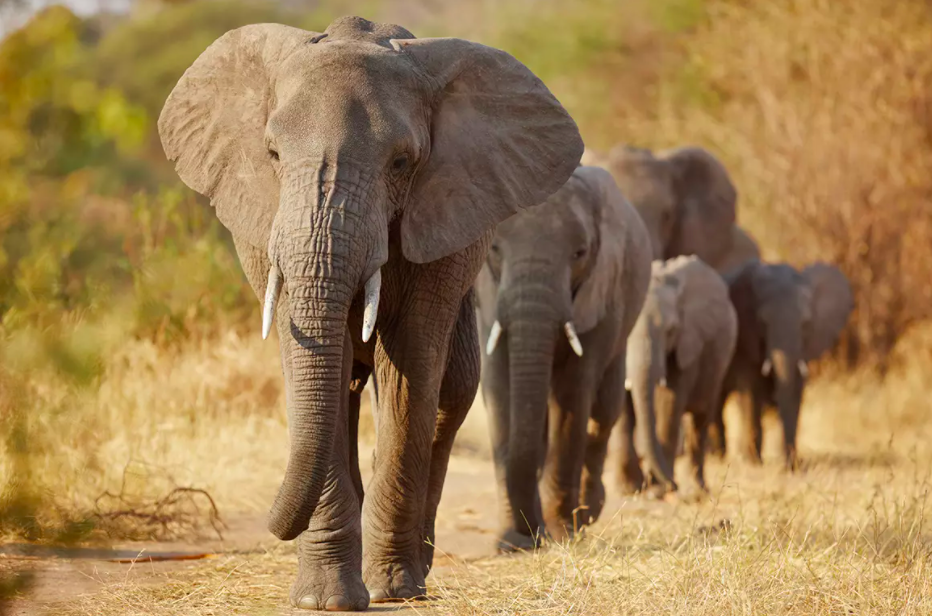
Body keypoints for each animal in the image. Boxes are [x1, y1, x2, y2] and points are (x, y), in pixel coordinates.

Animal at [160, 15, 584, 612]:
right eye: (272, 155)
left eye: (401, 163)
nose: (269, 525)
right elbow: (315, 367)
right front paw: (325, 599)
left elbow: (409, 364)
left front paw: (393, 589)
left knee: (450, 392)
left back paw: (414, 570)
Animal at [476, 165, 652, 552]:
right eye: (494, 248)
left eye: (580, 253)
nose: (528, 534)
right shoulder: (486, 298)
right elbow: (499, 388)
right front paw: (512, 543)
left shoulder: (602, 289)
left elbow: (572, 393)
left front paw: (561, 532)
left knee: (603, 413)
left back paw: (586, 513)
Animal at [620, 255, 736, 500]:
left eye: (670, 331)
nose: (673, 485)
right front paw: (629, 490)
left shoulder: (688, 342)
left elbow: (670, 402)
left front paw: (657, 491)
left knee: (700, 420)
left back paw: (699, 490)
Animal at [712, 260, 860, 466]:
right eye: (763, 322)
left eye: (806, 323)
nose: (789, 466)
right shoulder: (744, 338)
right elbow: (750, 391)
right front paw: (753, 462)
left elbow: (795, 389)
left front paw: (791, 462)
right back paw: (716, 456)